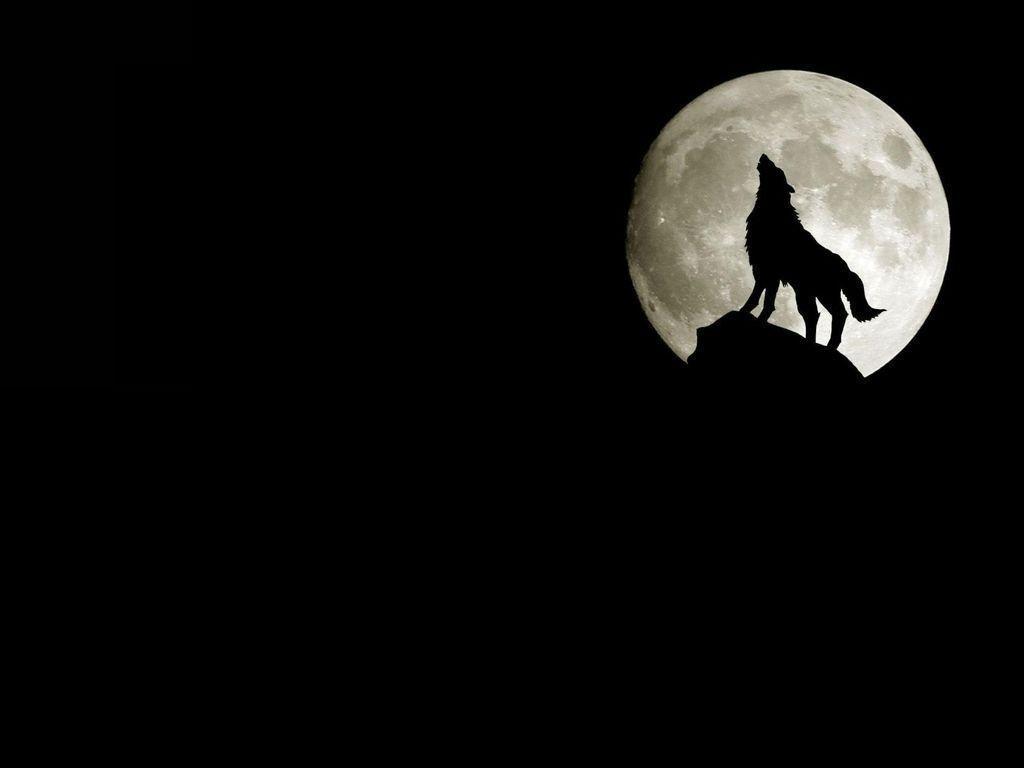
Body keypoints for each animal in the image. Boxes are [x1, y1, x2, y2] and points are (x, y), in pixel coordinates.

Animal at [739, 154, 884, 349]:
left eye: (777, 169)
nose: (764, 156)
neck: (774, 211)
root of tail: (846, 267)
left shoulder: (766, 270)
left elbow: (756, 298)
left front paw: (743, 313)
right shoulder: (770, 274)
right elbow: (768, 303)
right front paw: (759, 320)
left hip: (822, 293)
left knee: (838, 314)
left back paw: (829, 346)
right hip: (806, 292)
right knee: (813, 315)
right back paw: (812, 342)